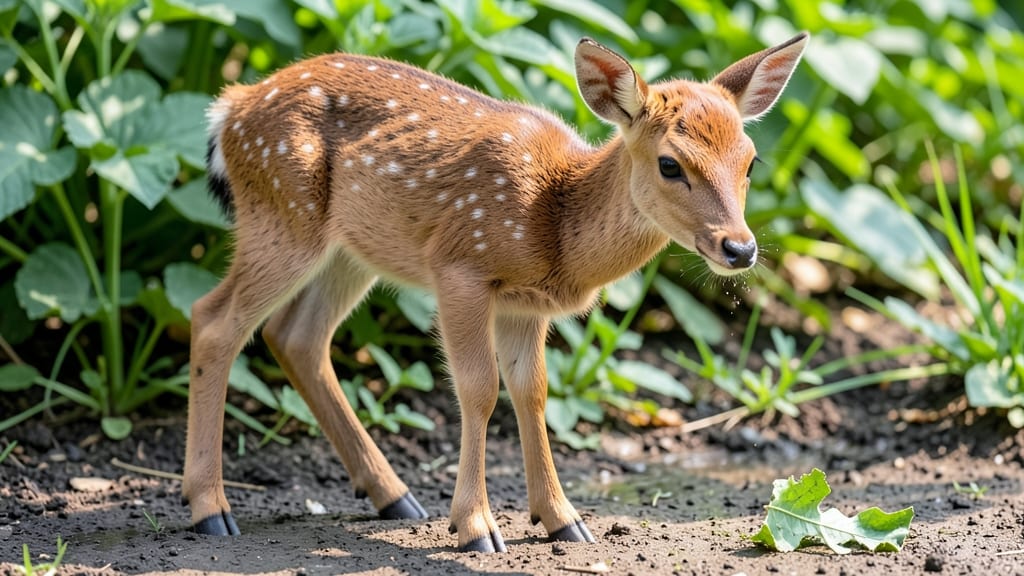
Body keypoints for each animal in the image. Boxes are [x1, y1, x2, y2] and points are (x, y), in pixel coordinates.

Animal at [186, 32, 808, 552]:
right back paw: (210, 509)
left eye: (751, 162)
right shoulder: (460, 265)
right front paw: (476, 528)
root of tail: (229, 108)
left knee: (297, 336)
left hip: (350, 250)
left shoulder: (524, 306)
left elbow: (532, 391)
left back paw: (395, 497)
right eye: (670, 164)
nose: (740, 248)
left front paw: (563, 519)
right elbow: (480, 388)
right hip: (283, 214)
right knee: (212, 319)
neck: (555, 222)